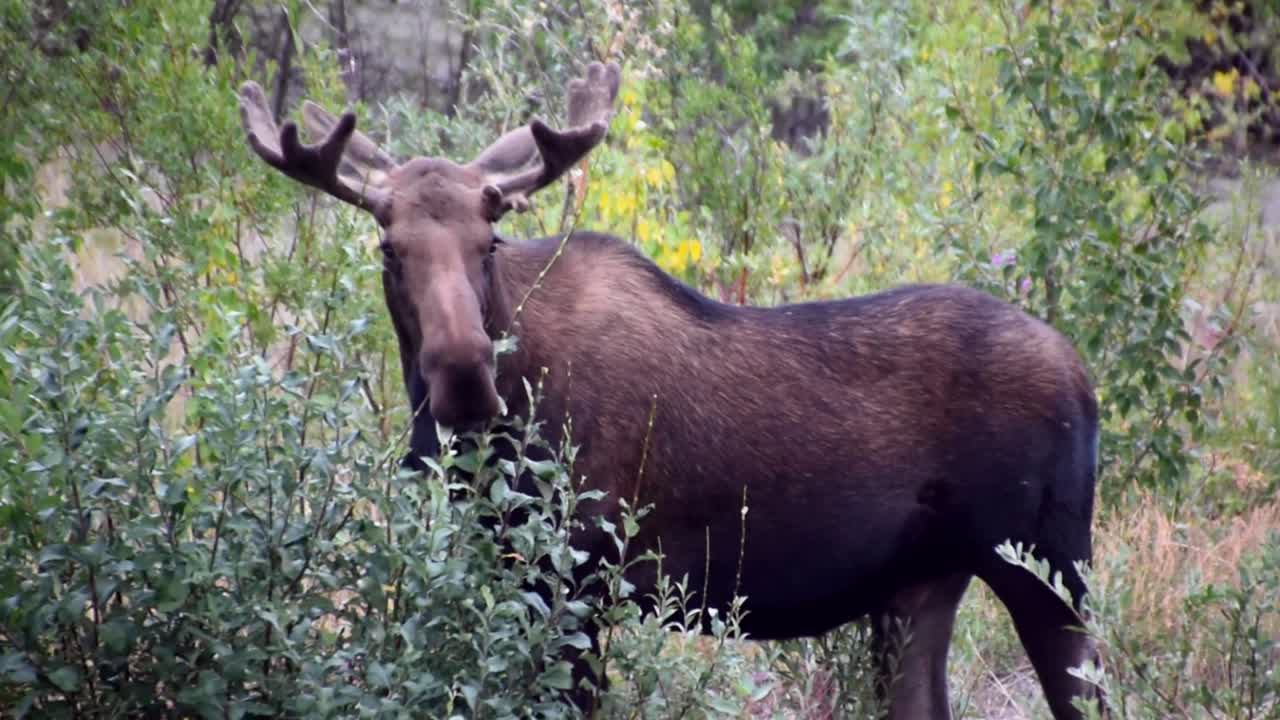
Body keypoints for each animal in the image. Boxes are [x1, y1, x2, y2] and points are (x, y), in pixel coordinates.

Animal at [238, 60, 1103, 720]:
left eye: (489, 241)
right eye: (389, 248)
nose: (463, 376)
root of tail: (1085, 377)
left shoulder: (581, 576)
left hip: (1050, 566)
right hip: (921, 584)